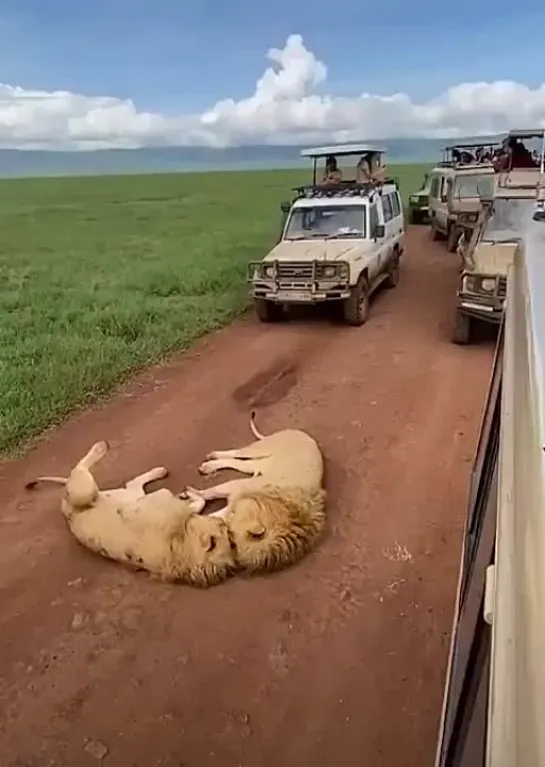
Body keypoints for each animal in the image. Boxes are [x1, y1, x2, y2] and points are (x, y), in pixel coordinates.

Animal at [25, 438, 236, 588]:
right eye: (224, 535)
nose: (225, 526)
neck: (181, 548)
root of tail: (65, 507)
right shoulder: (158, 502)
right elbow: (190, 502)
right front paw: (189, 496)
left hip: (113, 493)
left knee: (129, 483)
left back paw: (157, 471)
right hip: (84, 492)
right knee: (79, 470)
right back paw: (101, 447)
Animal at [181, 414, 326, 576]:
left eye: (232, 540)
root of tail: (304, 435)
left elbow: (213, 513)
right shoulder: (239, 486)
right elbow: (211, 493)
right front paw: (192, 496)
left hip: (256, 465)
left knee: (235, 462)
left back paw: (209, 466)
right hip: (260, 450)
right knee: (237, 453)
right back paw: (211, 459)